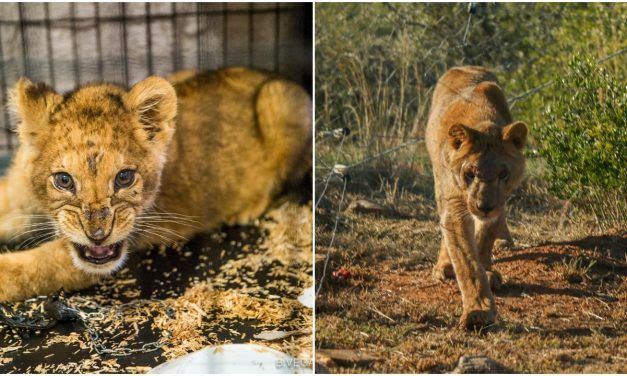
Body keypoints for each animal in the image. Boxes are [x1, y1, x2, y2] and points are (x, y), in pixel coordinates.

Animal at [0, 67, 312, 302]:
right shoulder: (18, 195)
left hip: (278, 101)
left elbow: (29, 269)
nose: (98, 236)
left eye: (124, 177)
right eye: (63, 180)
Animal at [430, 67, 528, 328]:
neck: (482, 121)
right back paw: (444, 266)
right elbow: (467, 261)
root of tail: (466, 67)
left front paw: (488, 271)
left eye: (503, 173)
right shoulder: (455, 204)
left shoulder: (499, 202)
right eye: (470, 173)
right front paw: (479, 311)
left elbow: (484, 240)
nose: (484, 206)